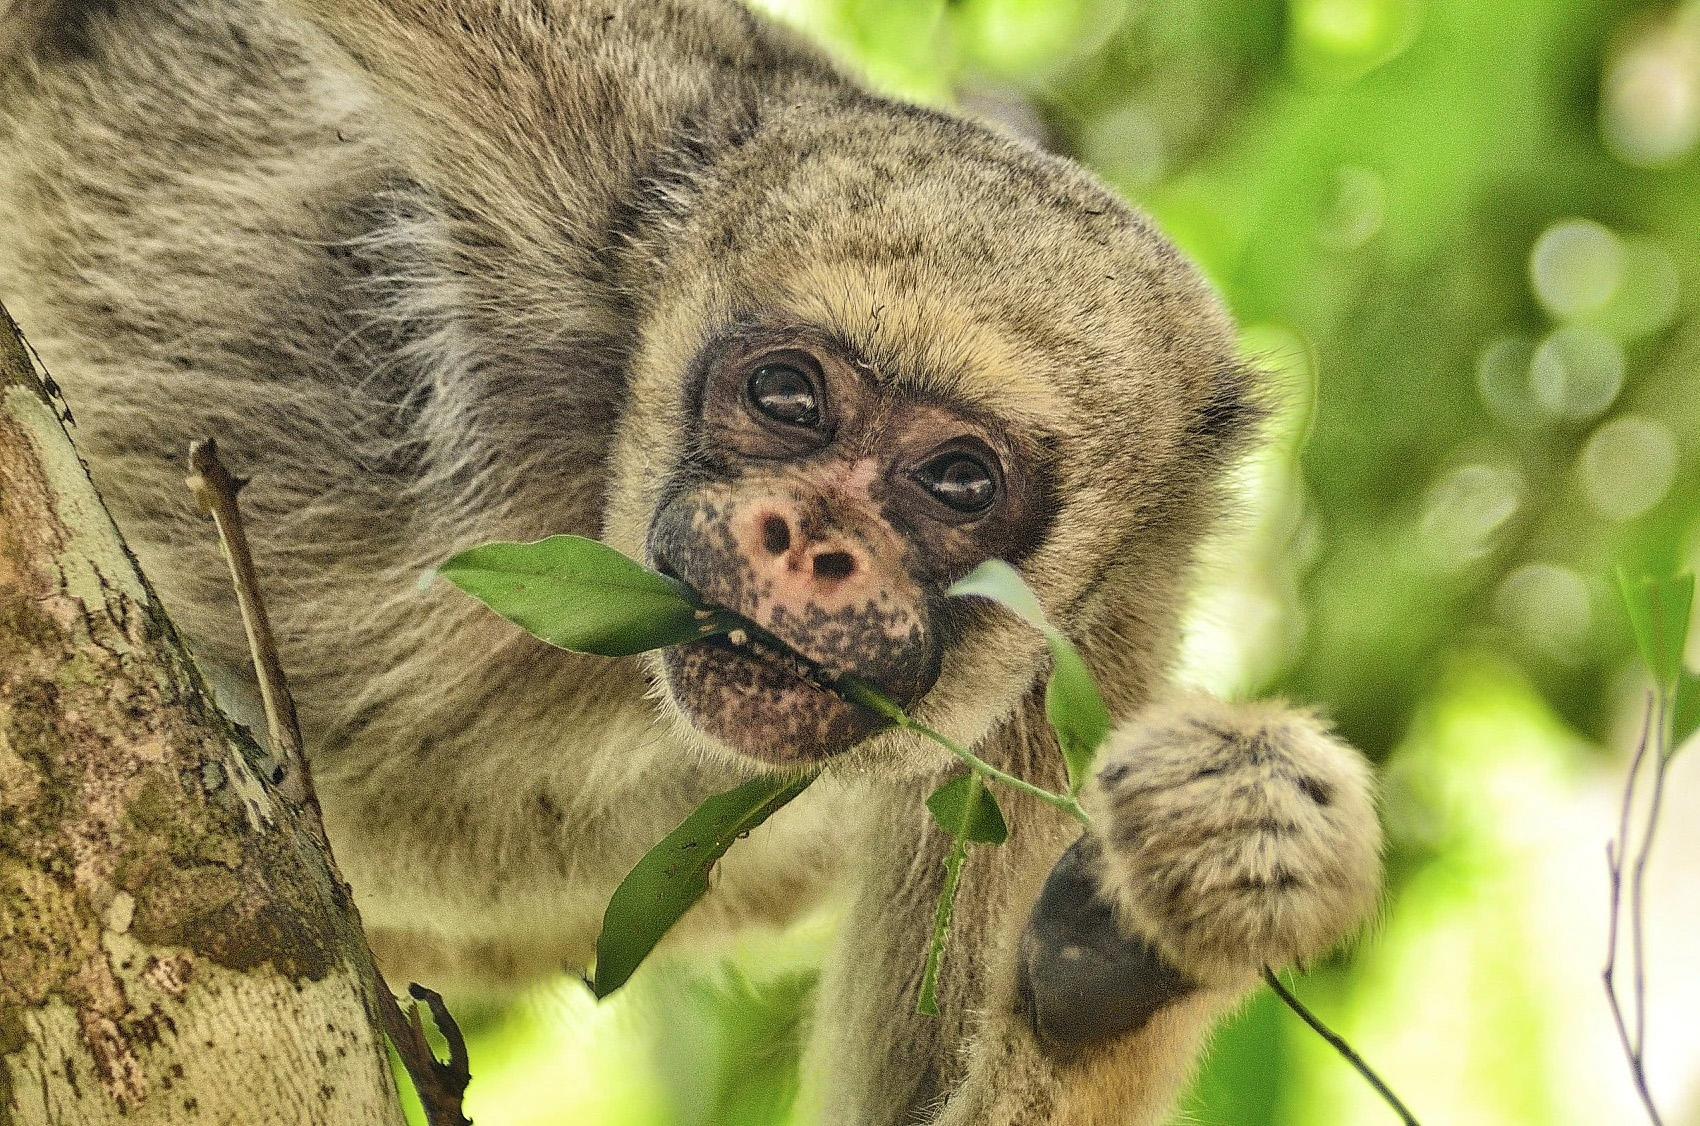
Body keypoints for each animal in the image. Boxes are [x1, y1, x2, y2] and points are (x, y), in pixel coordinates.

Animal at [0, 1, 1383, 1122]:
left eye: (957, 480)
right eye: (787, 397)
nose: (813, 544)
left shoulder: (1089, 650)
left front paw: (1133, 953)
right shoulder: (575, 117)